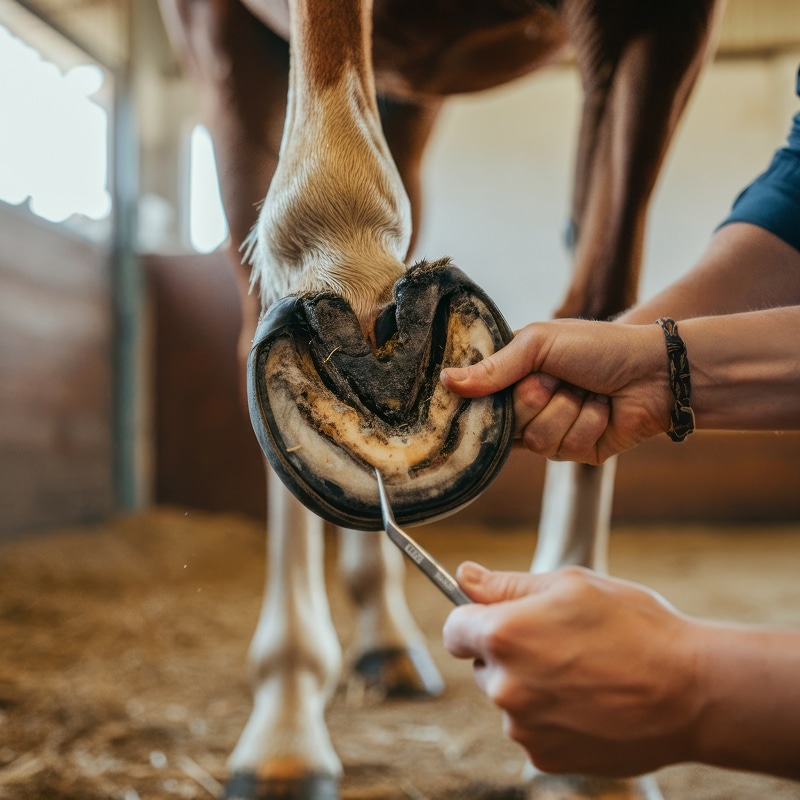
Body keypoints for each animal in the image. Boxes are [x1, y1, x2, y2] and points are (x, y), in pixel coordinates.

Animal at [157, 1, 723, 798]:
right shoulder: (222, 30)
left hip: (412, 96)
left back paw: (387, 646)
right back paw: (301, 709)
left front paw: (591, 757)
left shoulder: (660, 27)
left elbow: (603, 301)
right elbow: (320, 193)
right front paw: (286, 722)